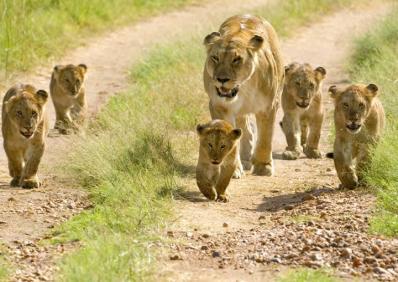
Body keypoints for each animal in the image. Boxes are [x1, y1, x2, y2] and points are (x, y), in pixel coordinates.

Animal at [204, 14, 284, 176]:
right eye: (215, 58)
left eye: (236, 59)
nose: (222, 79)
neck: (244, 88)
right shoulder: (219, 106)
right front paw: (230, 169)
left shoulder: (268, 107)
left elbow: (266, 137)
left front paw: (263, 167)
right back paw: (246, 158)